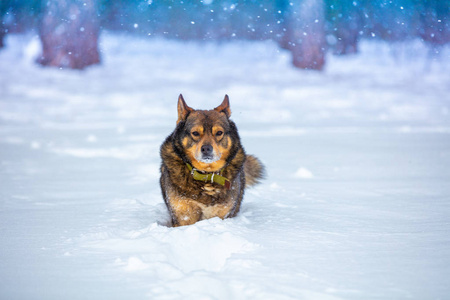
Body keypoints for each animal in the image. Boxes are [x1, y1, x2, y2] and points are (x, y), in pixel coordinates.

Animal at [159, 95, 264, 226]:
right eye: (195, 133)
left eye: (219, 133)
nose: (206, 149)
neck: (207, 176)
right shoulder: (184, 215)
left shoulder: (222, 214)